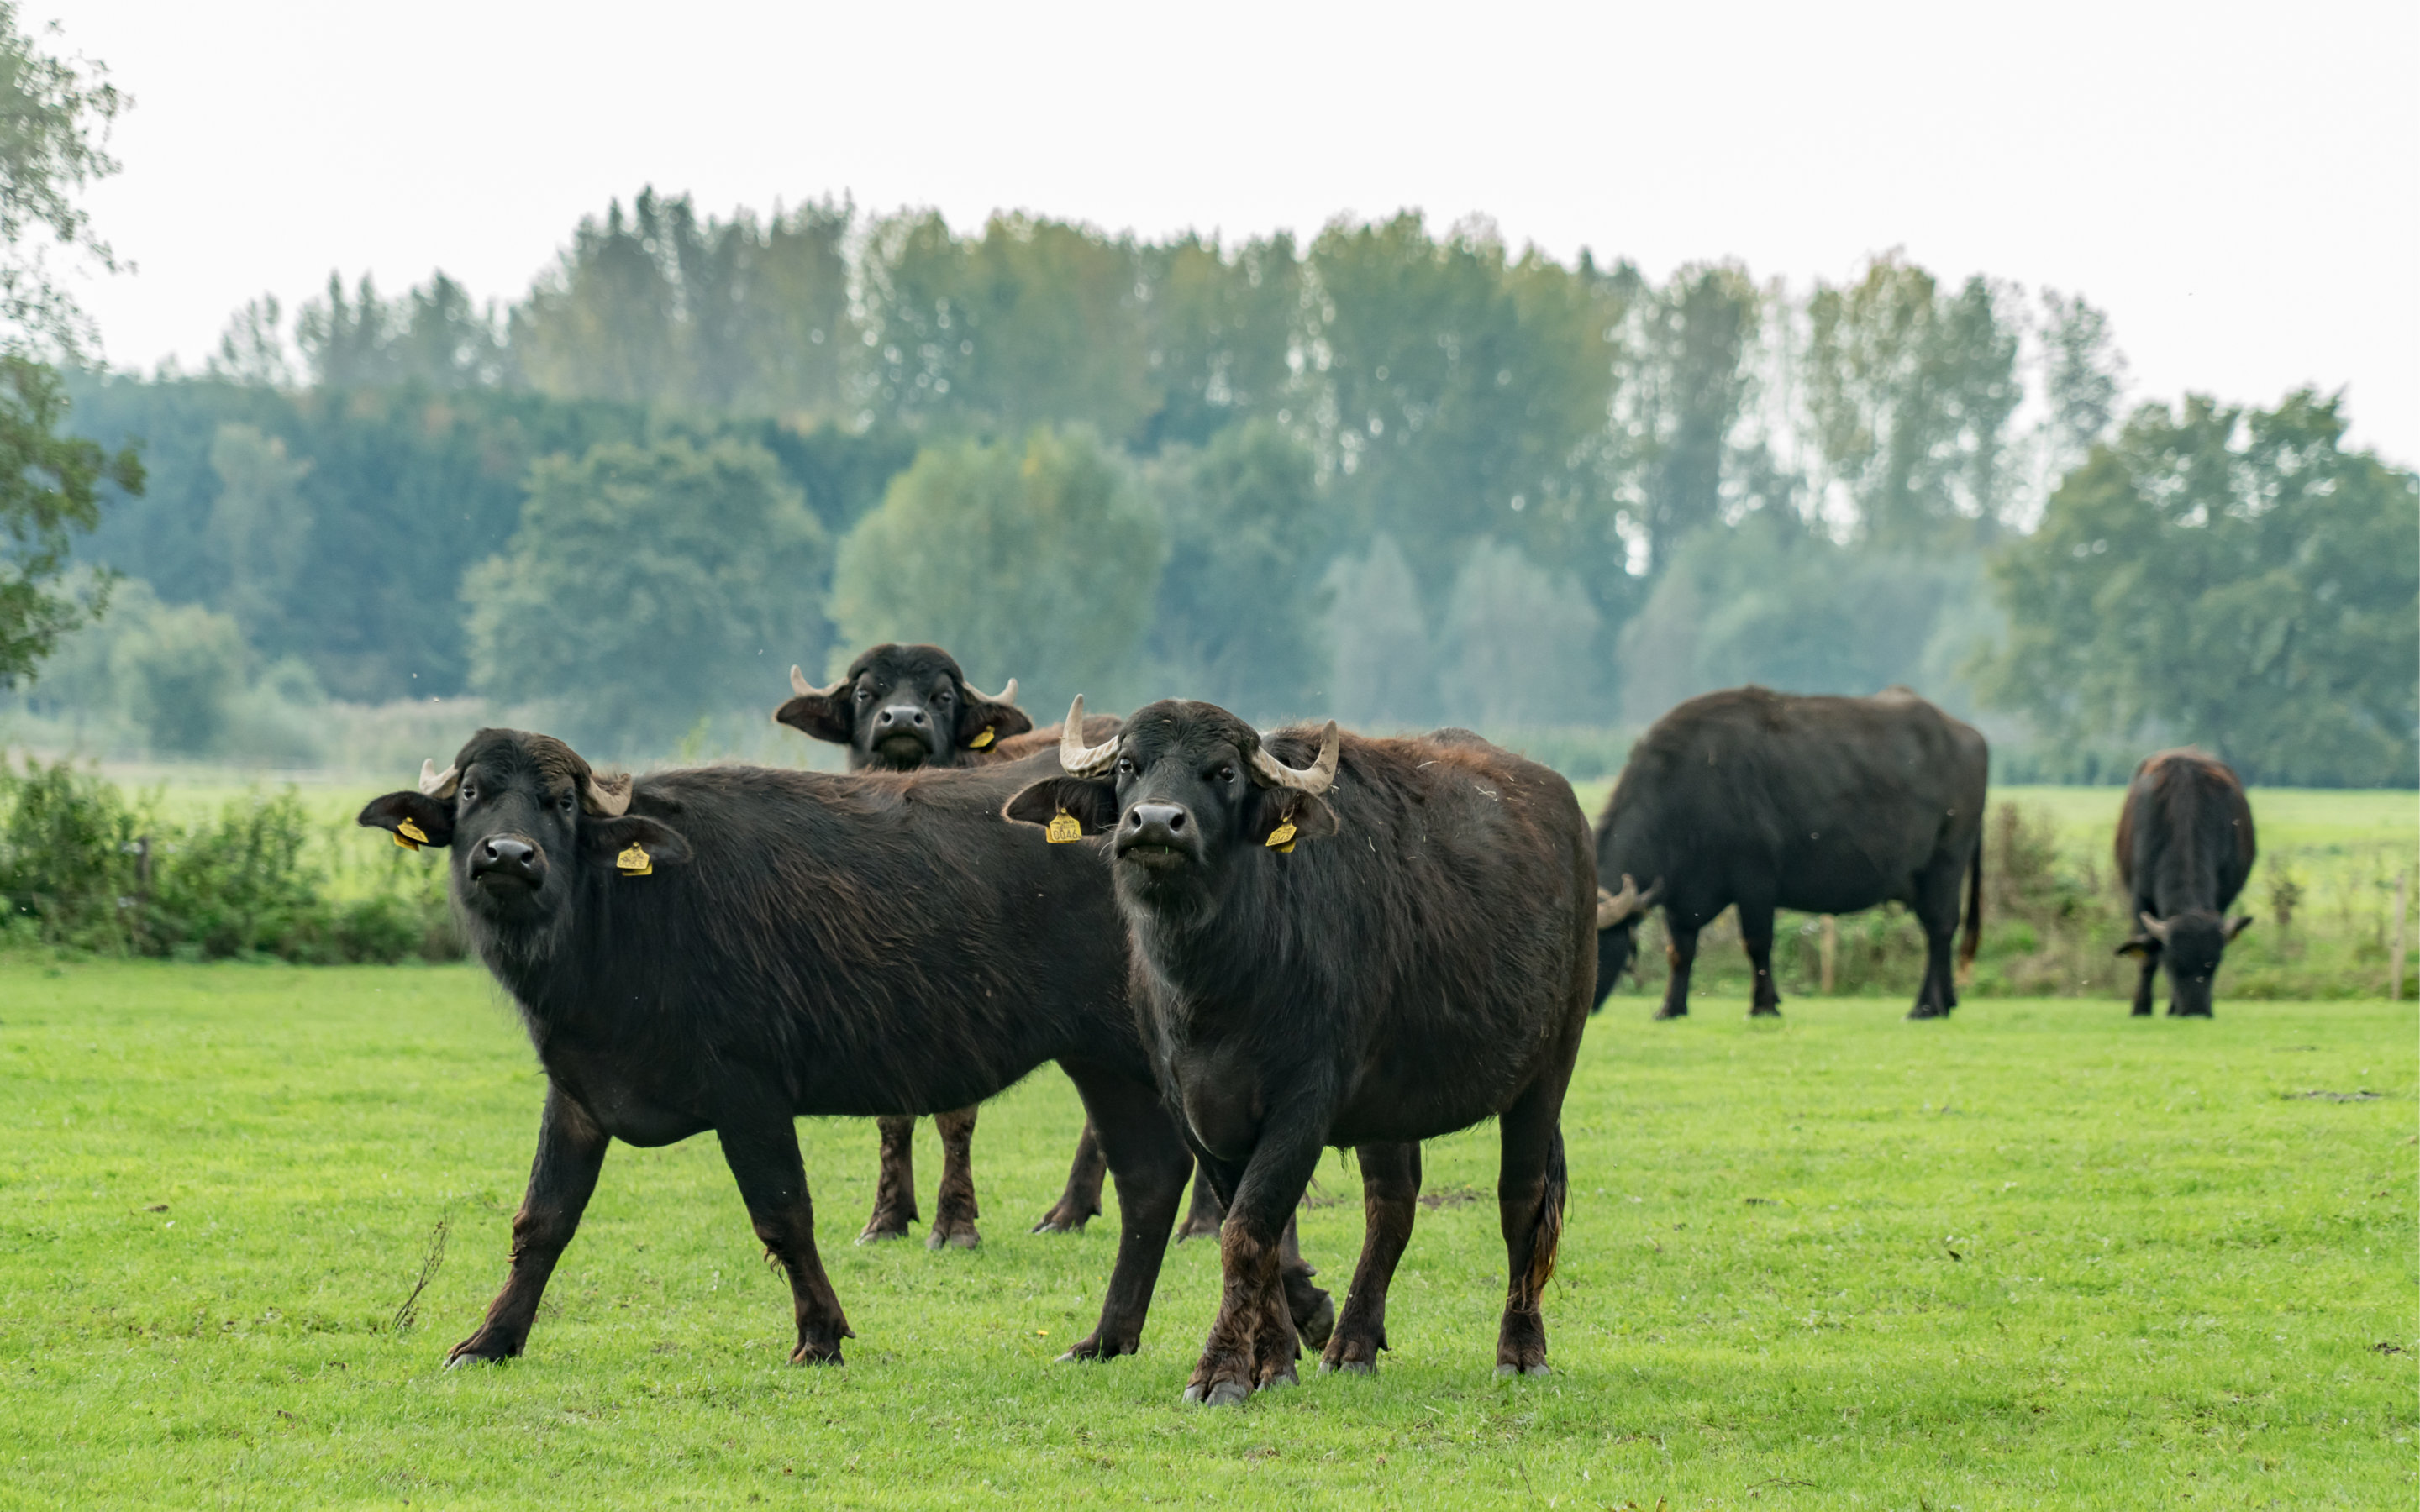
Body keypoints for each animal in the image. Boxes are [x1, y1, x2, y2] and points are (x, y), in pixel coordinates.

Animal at [353, 730, 1326, 1364]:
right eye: (471, 795)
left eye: (558, 802)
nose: (508, 857)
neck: (621, 913)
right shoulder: (580, 1095)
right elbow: (542, 1221)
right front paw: (491, 1338)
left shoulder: (747, 1093)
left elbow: (783, 1213)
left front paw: (821, 1333)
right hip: (1103, 1061)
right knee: (1151, 1181)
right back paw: (1113, 1336)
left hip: (1142, 1052)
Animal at [769, 643, 1210, 1248]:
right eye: (865, 694)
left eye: (942, 696)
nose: (902, 720)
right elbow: (891, 1113)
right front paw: (887, 1217)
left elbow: (957, 1115)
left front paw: (955, 1222)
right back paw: (1069, 1211)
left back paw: (1199, 1221)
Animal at [1011, 701, 1597, 1393]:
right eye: (1129, 765)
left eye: (1225, 773)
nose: (1154, 822)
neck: (1220, 983)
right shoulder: (1193, 1111)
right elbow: (1253, 1232)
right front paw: (1274, 1356)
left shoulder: (1304, 1106)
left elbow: (1247, 1230)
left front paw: (1223, 1371)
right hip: (1389, 1106)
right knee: (1392, 1206)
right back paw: (1351, 1346)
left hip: (1549, 1069)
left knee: (1522, 1201)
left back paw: (1521, 1350)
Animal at [1587, 682, 1984, 1016]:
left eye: (1594, 943)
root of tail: (1968, 734)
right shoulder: (1681, 894)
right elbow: (1680, 951)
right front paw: (1671, 1008)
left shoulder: (1756, 881)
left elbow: (1757, 942)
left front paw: (1764, 1005)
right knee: (1936, 930)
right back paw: (1945, 1001)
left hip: (1946, 863)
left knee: (1941, 927)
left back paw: (1926, 1007)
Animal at [2119, 749, 2245, 1021]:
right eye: (2173, 963)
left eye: (2214, 964)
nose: (2196, 1012)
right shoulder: (2139, 896)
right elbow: (2148, 955)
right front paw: (2141, 1009)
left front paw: (2171, 1009)